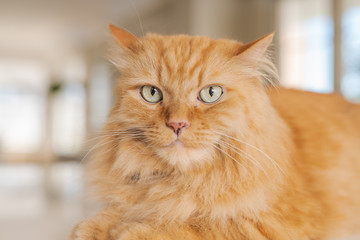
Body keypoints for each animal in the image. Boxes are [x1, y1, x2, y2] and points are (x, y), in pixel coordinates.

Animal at [70, 24, 360, 240]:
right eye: (151, 94)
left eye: (211, 93)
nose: (177, 124)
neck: (185, 180)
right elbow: (113, 213)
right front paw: (95, 226)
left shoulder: (278, 223)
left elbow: (202, 224)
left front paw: (132, 229)